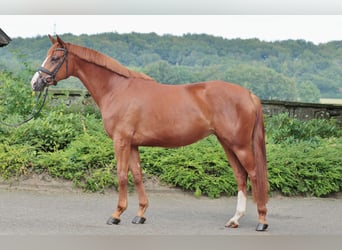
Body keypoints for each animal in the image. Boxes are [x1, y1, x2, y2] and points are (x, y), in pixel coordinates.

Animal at [30, 35, 268, 230]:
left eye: (54, 58)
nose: (35, 83)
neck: (116, 89)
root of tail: (249, 94)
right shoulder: (133, 144)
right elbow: (137, 175)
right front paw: (140, 214)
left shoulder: (121, 141)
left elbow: (121, 175)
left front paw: (116, 215)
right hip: (227, 143)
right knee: (241, 176)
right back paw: (235, 220)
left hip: (239, 145)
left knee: (255, 174)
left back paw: (262, 220)